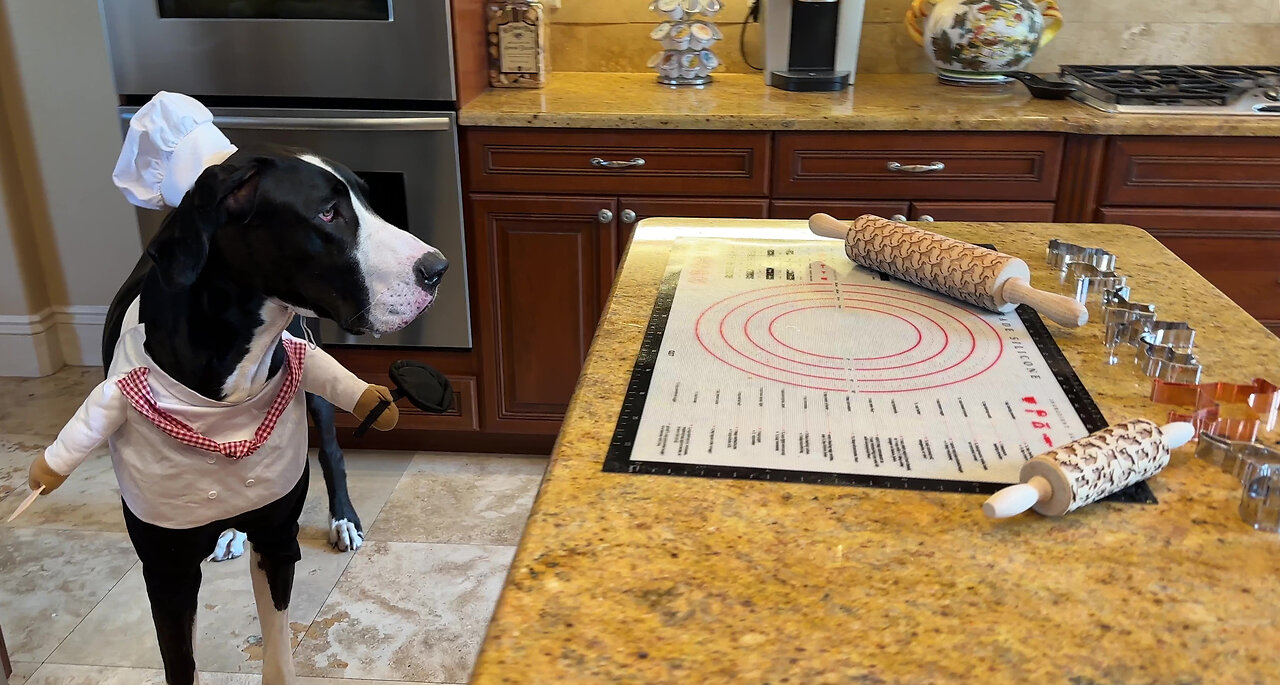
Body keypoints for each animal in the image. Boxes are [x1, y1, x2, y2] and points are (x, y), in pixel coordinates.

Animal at [97, 151, 448, 685]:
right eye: (327, 213)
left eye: (368, 200)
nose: (437, 268)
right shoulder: (167, 572)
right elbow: (181, 665)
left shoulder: (279, 543)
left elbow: (279, 656)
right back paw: (230, 531)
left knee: (332, 452)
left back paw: (343, 520)